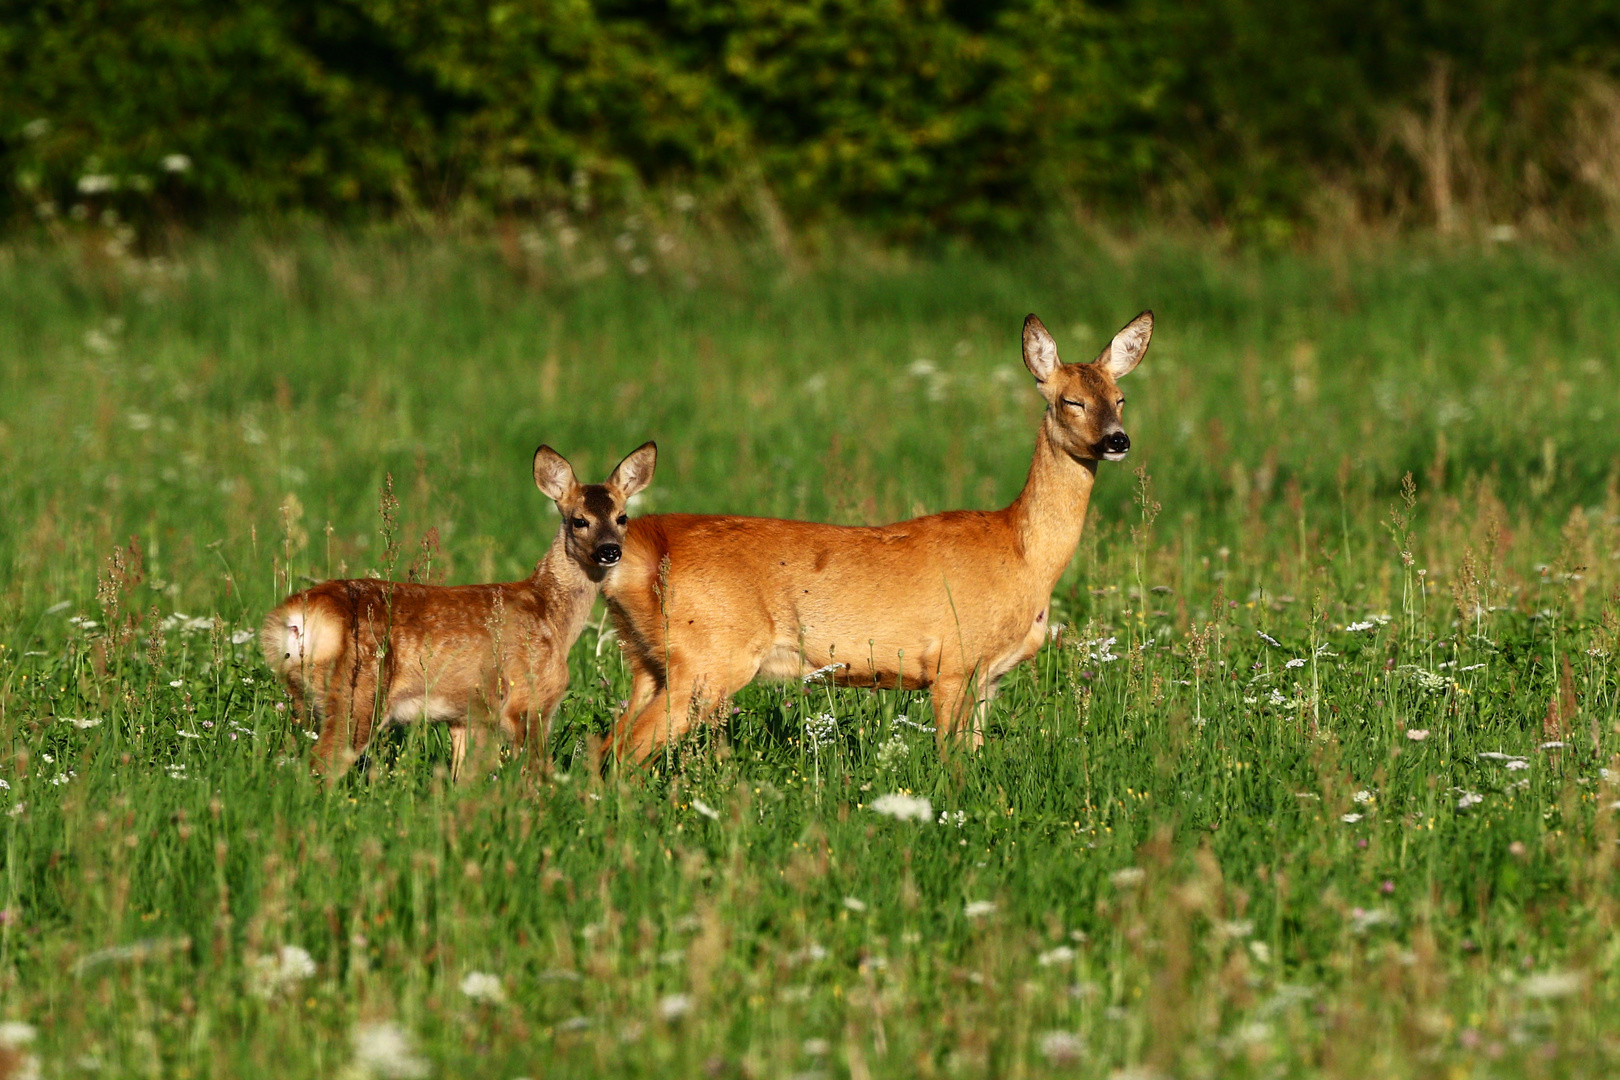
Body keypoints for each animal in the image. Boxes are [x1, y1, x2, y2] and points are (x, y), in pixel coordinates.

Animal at [262, 443, 654, 780]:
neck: (550, 613)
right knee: (318, 767)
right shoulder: (530, 700)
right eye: (579, 520)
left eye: (622, 517)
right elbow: (537, 776)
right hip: (358, 694)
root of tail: (295, 618)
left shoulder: (467, 716)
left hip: (303, 698)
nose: (609, 550)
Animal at [605, 310, 1153, 761]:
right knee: (628, 750)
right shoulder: (952, 661)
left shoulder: (988, 676)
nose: (1117, 439)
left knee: (603, 744)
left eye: (1120, 398)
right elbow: (951, 762)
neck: (1021, 554)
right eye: (1071, 400)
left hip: (649, 659)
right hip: (710, 656)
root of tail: (644, 552)